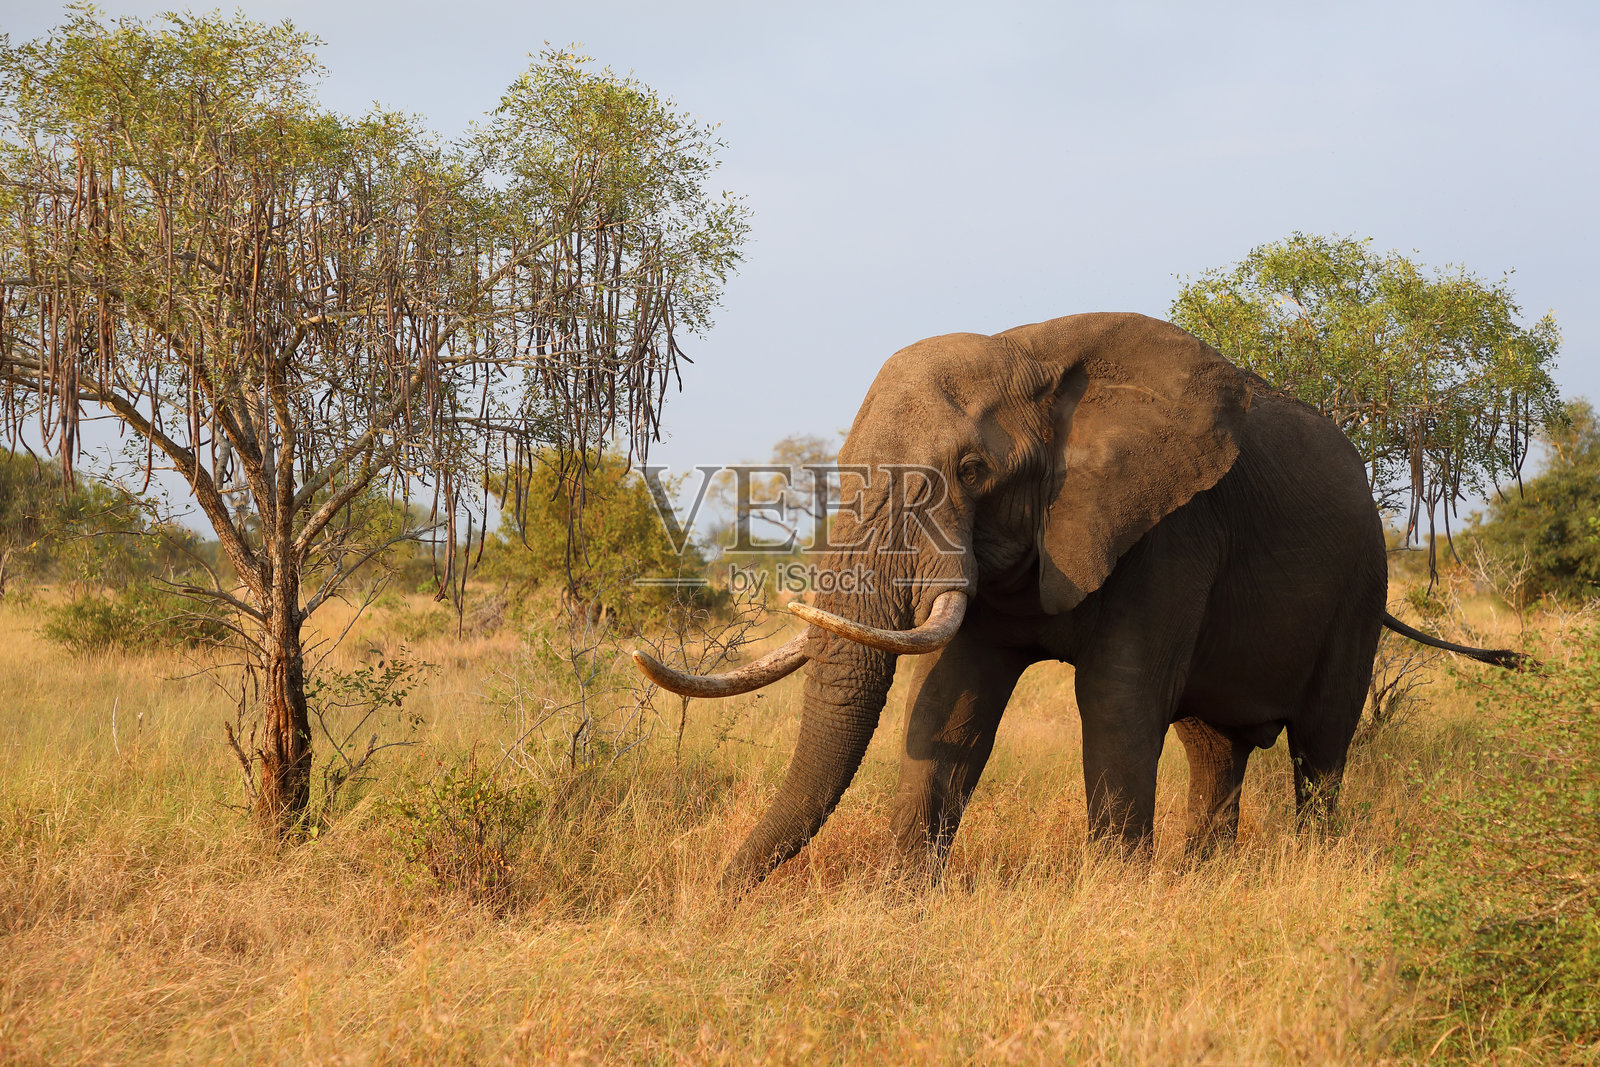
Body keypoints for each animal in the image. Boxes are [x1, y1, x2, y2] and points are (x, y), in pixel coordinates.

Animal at [636, 313, 1520, 890]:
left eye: (970, 470)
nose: (712, 900)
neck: (1029, 357)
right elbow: (950, 706)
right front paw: (903, 900)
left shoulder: (1171, 528)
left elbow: (1117, 699)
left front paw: (1116, 900)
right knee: (1215, 747)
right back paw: (1204, 880)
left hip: (1360, 586)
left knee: (1320, 747)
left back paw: (1310, 867)